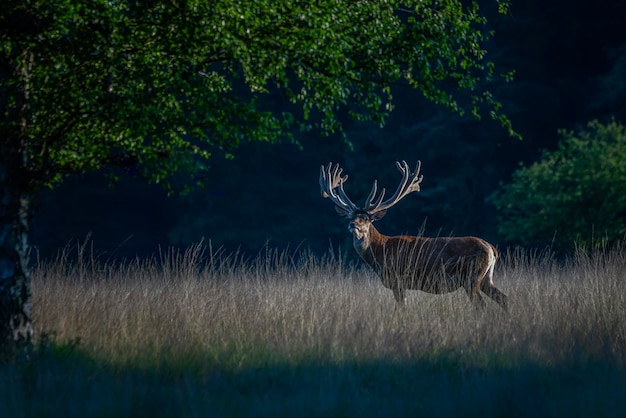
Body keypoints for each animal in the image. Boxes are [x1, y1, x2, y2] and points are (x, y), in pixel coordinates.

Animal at [316, 160, 508, 310]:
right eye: (349, 216)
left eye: (365, 219)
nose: (352, 225)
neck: (380, 251)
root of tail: (492, 249)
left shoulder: (398, 279)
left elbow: (402, 307)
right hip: (486, 278)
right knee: (503, 298)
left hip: (471, 277)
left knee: (482, 305)